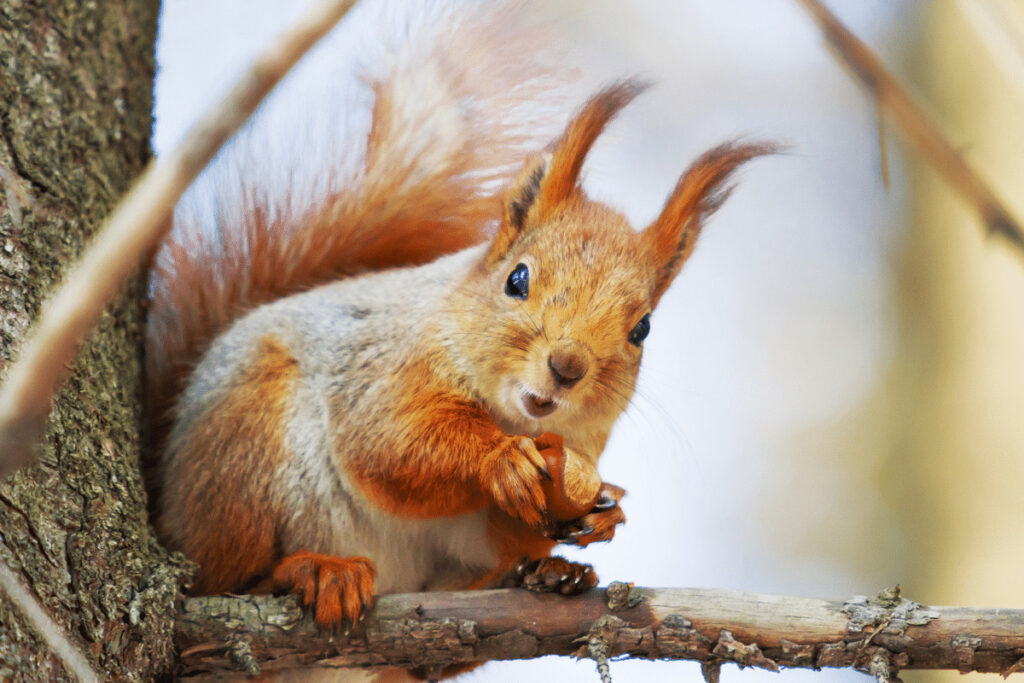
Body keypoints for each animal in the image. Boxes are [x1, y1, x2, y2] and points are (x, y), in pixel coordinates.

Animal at [145, 0, 772, 658]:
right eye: (517, 279)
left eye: (643, 329)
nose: (568, 366)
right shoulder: (384, 369)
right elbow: (390, 444)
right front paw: (499, 460)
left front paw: (605, 512)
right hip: (244, 450)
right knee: (227, 576)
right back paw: (314, 572)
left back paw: (547, 576)